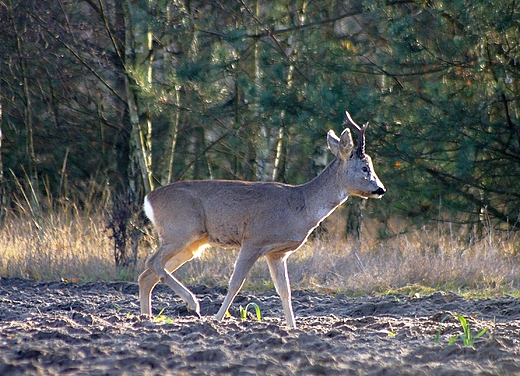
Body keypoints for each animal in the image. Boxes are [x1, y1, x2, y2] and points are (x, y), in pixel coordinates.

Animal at [139, 110, 386, 328]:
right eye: (365, 167)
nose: (381, 189)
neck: (302, 207)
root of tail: (148, 198)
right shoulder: (254, 240)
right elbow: (235, 284)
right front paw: (217, 320)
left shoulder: (277, 253)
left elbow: (285, 291)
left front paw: (292, 327)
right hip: (180, 232)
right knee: (152, 263)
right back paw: (192, 305)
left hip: (191, 243)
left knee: (147, 275)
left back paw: (146, 319)